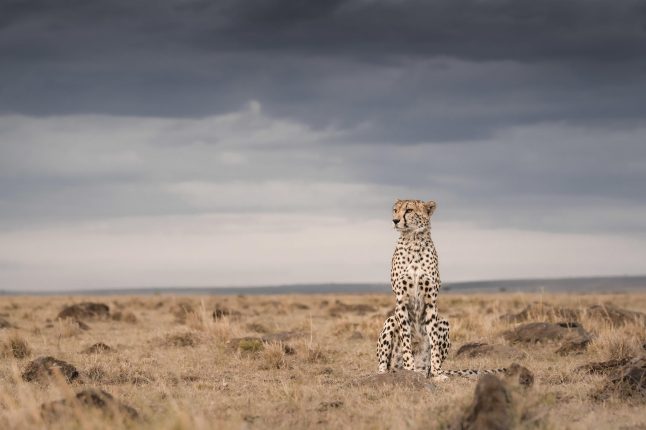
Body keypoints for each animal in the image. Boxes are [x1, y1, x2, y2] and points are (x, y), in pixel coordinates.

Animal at [378, 198, 508, 380]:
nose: (395, 221)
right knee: (384, 362)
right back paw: (389, 372)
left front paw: (438, 373)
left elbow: (433, 342)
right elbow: (406, 341)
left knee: (427, 366)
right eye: (395, 210)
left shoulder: (431, 302)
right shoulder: (401, 301)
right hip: (390, 322)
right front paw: (409, 368)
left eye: (409, 210)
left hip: (444, 323)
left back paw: (427, 373)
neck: (413, 241)